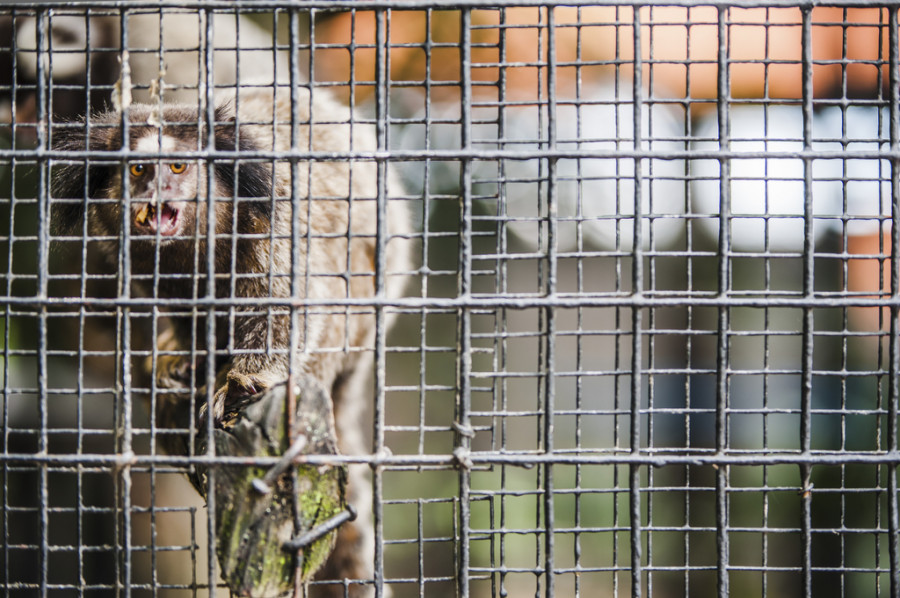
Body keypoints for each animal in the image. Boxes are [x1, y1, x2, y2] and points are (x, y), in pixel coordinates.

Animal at [52, 86, 412, 596]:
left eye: (176, 167)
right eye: (138, 169)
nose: (155, 190)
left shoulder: (272, 217)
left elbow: (285, 304)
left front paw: (243, 378)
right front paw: (187, 356)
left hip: (360, 315)